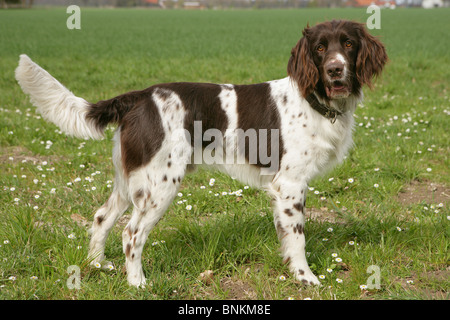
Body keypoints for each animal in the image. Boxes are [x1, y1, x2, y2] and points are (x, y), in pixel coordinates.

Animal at [14, 18, 386, 286]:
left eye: (348, 44)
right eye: (320, 48)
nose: (335, 69)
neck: (314, 100)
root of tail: (139, 97)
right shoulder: (290, 184)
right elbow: (297, 239)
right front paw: (306, 279)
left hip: (129, 180)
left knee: (102, 217)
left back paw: (97, 264)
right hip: (160, 184)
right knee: (131, 234)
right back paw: (137, 284)